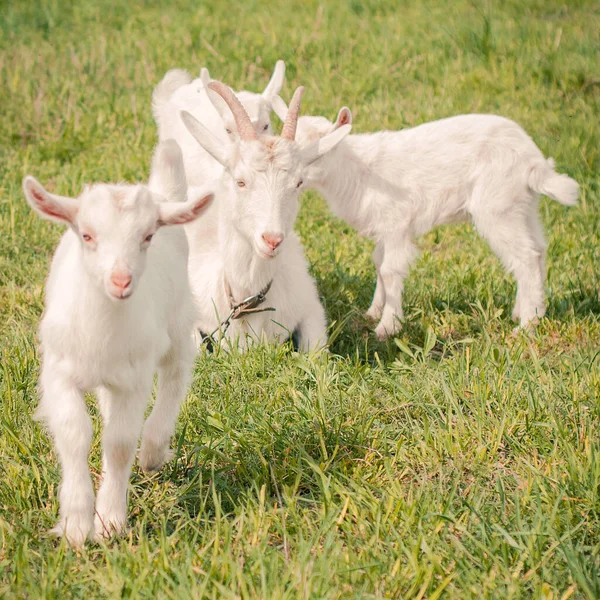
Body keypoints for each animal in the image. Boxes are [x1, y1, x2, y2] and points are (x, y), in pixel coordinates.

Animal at [22, 142, 213, 548]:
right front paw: (76, 525)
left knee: (175, 374)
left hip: (177, 323)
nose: (121, 281)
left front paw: (109, 521)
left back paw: (153, 450)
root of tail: (164, 195)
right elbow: (75, 433)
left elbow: (121, 442)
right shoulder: (59, 372)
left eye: (147, 236)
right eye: (87, 236)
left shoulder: (135, 378)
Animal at [178, 82, 350, 350]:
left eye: (298, 183)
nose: (272, 240)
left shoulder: (311, 307)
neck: (247, 304)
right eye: (240, 181)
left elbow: (315, 350)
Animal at [274, 103, 580, 338]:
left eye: (316, 154)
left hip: (497, 205)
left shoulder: (397, 222)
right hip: (523, 206)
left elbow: (390, 270)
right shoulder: (385, 227)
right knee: (538, 249)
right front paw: (373, 311)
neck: (357, 171)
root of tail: (535, 162)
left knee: (525, 257)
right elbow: (378, 263)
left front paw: (387, 327)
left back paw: (527, 326)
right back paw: (528, 311)